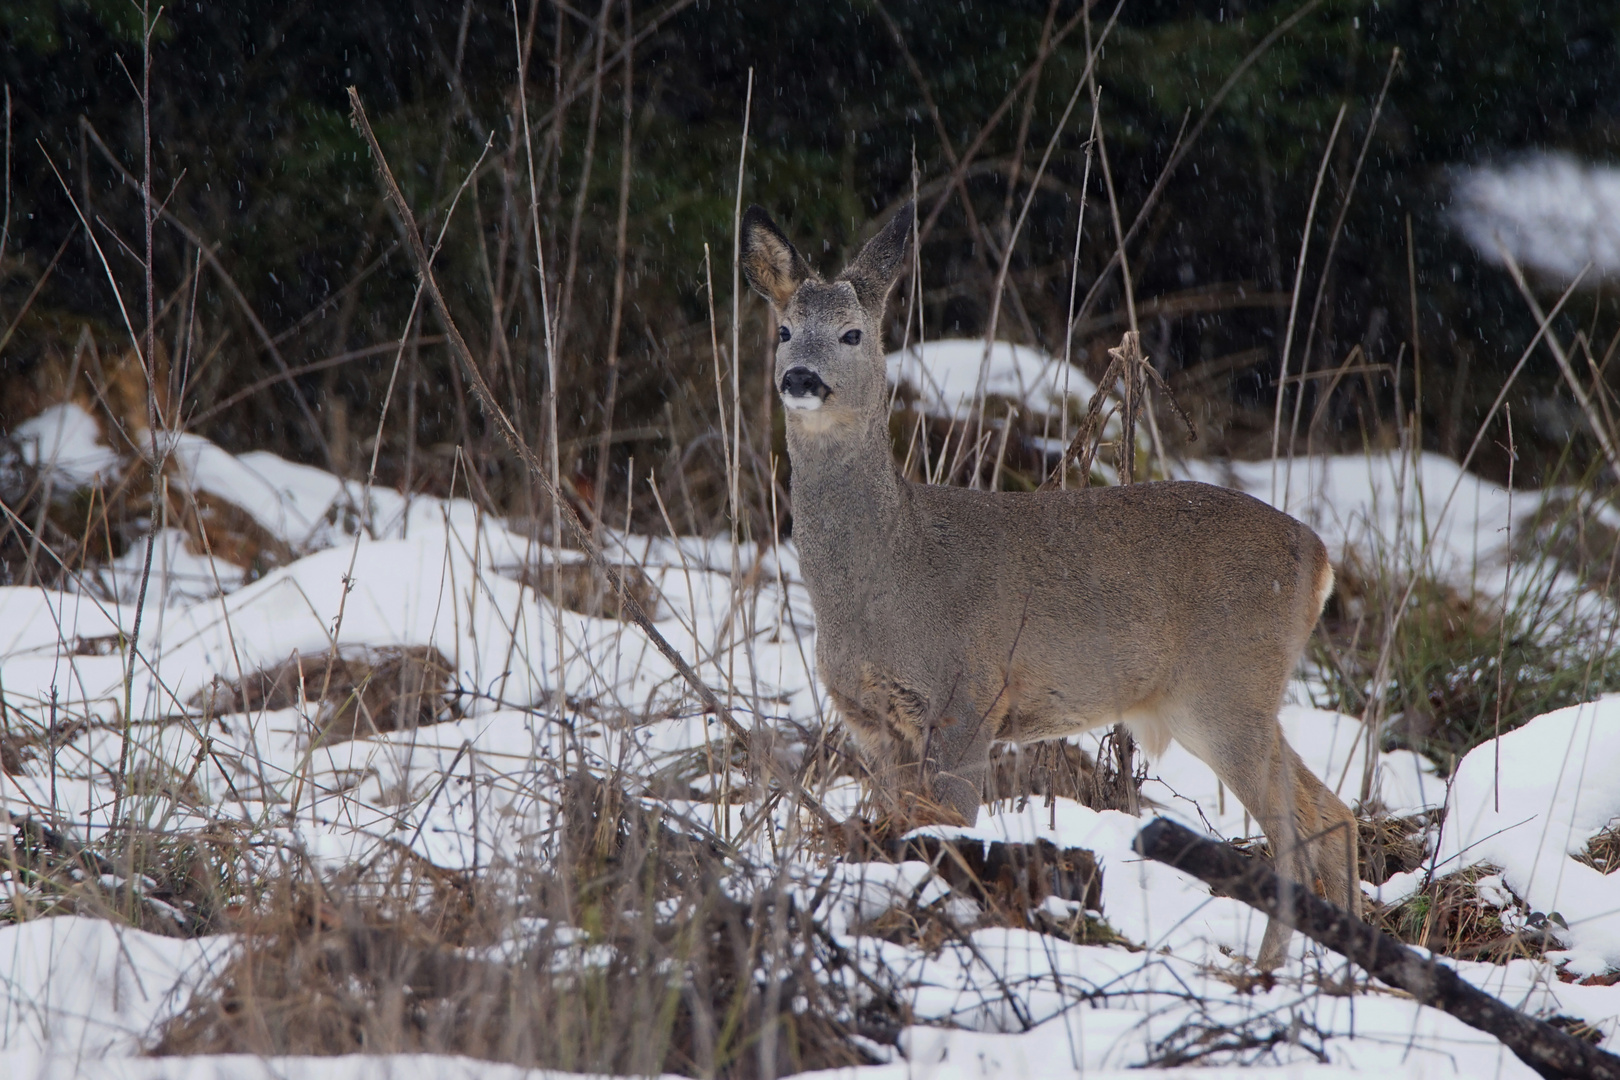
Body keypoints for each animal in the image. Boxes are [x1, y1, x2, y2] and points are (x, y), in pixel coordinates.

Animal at [741, 198, 1360, 965]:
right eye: (785, 329)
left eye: (853, 333)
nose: (800, 377)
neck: (891, 575)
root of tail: (1320, 556)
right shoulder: (872, 722)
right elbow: (902, 832)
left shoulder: (968, 697)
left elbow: (950, 831)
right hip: (1224, 700)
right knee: (1331, 812)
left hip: (1228, 687)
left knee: (1292, 835)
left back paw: (1269, 971)